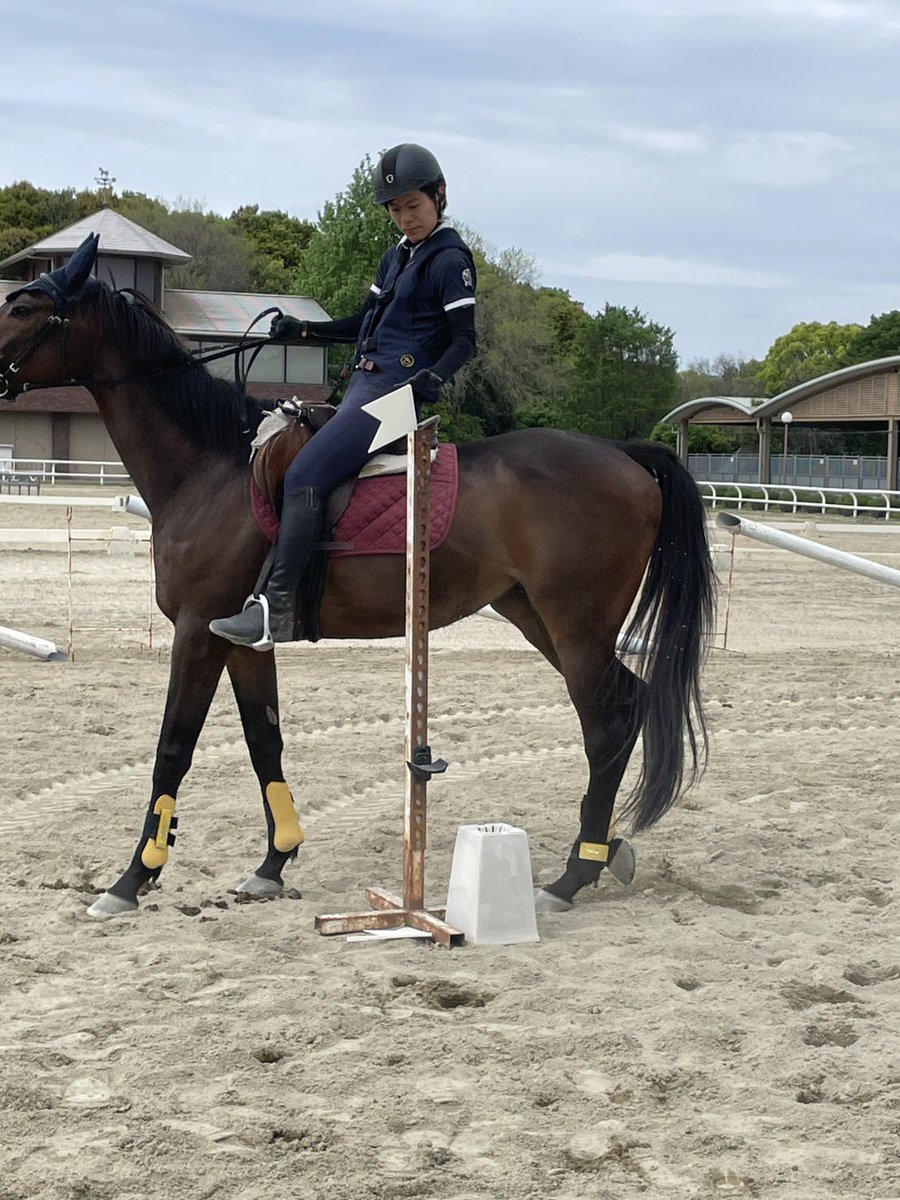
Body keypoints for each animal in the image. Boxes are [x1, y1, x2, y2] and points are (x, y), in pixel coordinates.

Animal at [0, 235, 715, 920]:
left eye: (24, 307)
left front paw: (131, 880)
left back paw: (571, 877)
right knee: (625, 706)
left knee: (607, 722)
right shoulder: (241, 639)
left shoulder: (198, 632)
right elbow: (264, 740)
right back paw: (601, 854)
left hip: (576, 626)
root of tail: (622, 455)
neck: (212, 467)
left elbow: (172, 747)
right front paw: (273, 864)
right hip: (536, 616)